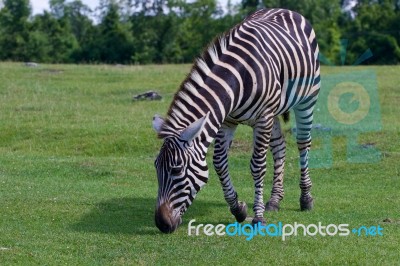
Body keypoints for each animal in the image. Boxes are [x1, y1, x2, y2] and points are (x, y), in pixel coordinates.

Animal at [152, 8, 320, 233]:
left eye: (177, 170)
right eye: (156, 167)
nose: (161, 224)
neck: (237, 79)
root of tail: (285, 10)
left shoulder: (263, 117)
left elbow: (257, 165)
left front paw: (258, 217)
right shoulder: (227, 120)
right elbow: (219, 163)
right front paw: (238, 209)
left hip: (307, 99)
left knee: (303, 144)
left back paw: (305, 198)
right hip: (275, 111)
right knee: (279, 147)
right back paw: (275, 200)